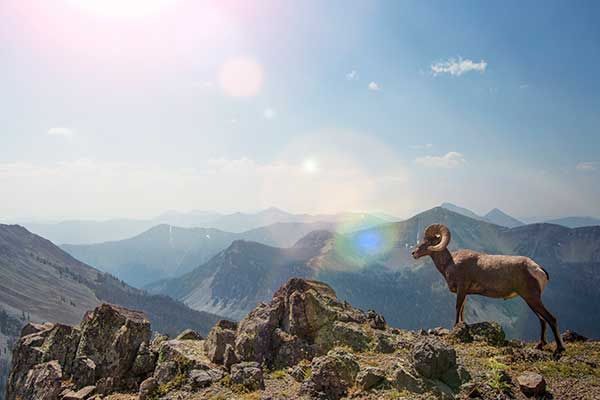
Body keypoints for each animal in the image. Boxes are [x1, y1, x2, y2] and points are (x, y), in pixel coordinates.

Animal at [410, 225, 564, 354]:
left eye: (429, 241)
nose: (413, 253)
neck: (450, 263)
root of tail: (537, 268)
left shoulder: (461, 289)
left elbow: (457, 308)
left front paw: (455, 328)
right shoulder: (465, 293)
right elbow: (462, 311)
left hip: (532, 298)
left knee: (551, 318)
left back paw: (559, 348)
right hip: (530, 300)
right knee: (542, 320)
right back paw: (539, 345)